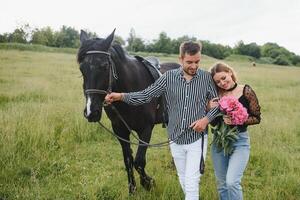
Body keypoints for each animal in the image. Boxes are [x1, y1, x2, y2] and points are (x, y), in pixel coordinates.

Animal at [77, 29, 180, 194]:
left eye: (104, 66)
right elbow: (128, 160)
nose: (91, 112)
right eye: (82, 68)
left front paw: (148, 183)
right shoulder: (120, 130)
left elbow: (139, 161)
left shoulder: (146, 129)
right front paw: (133, 189)